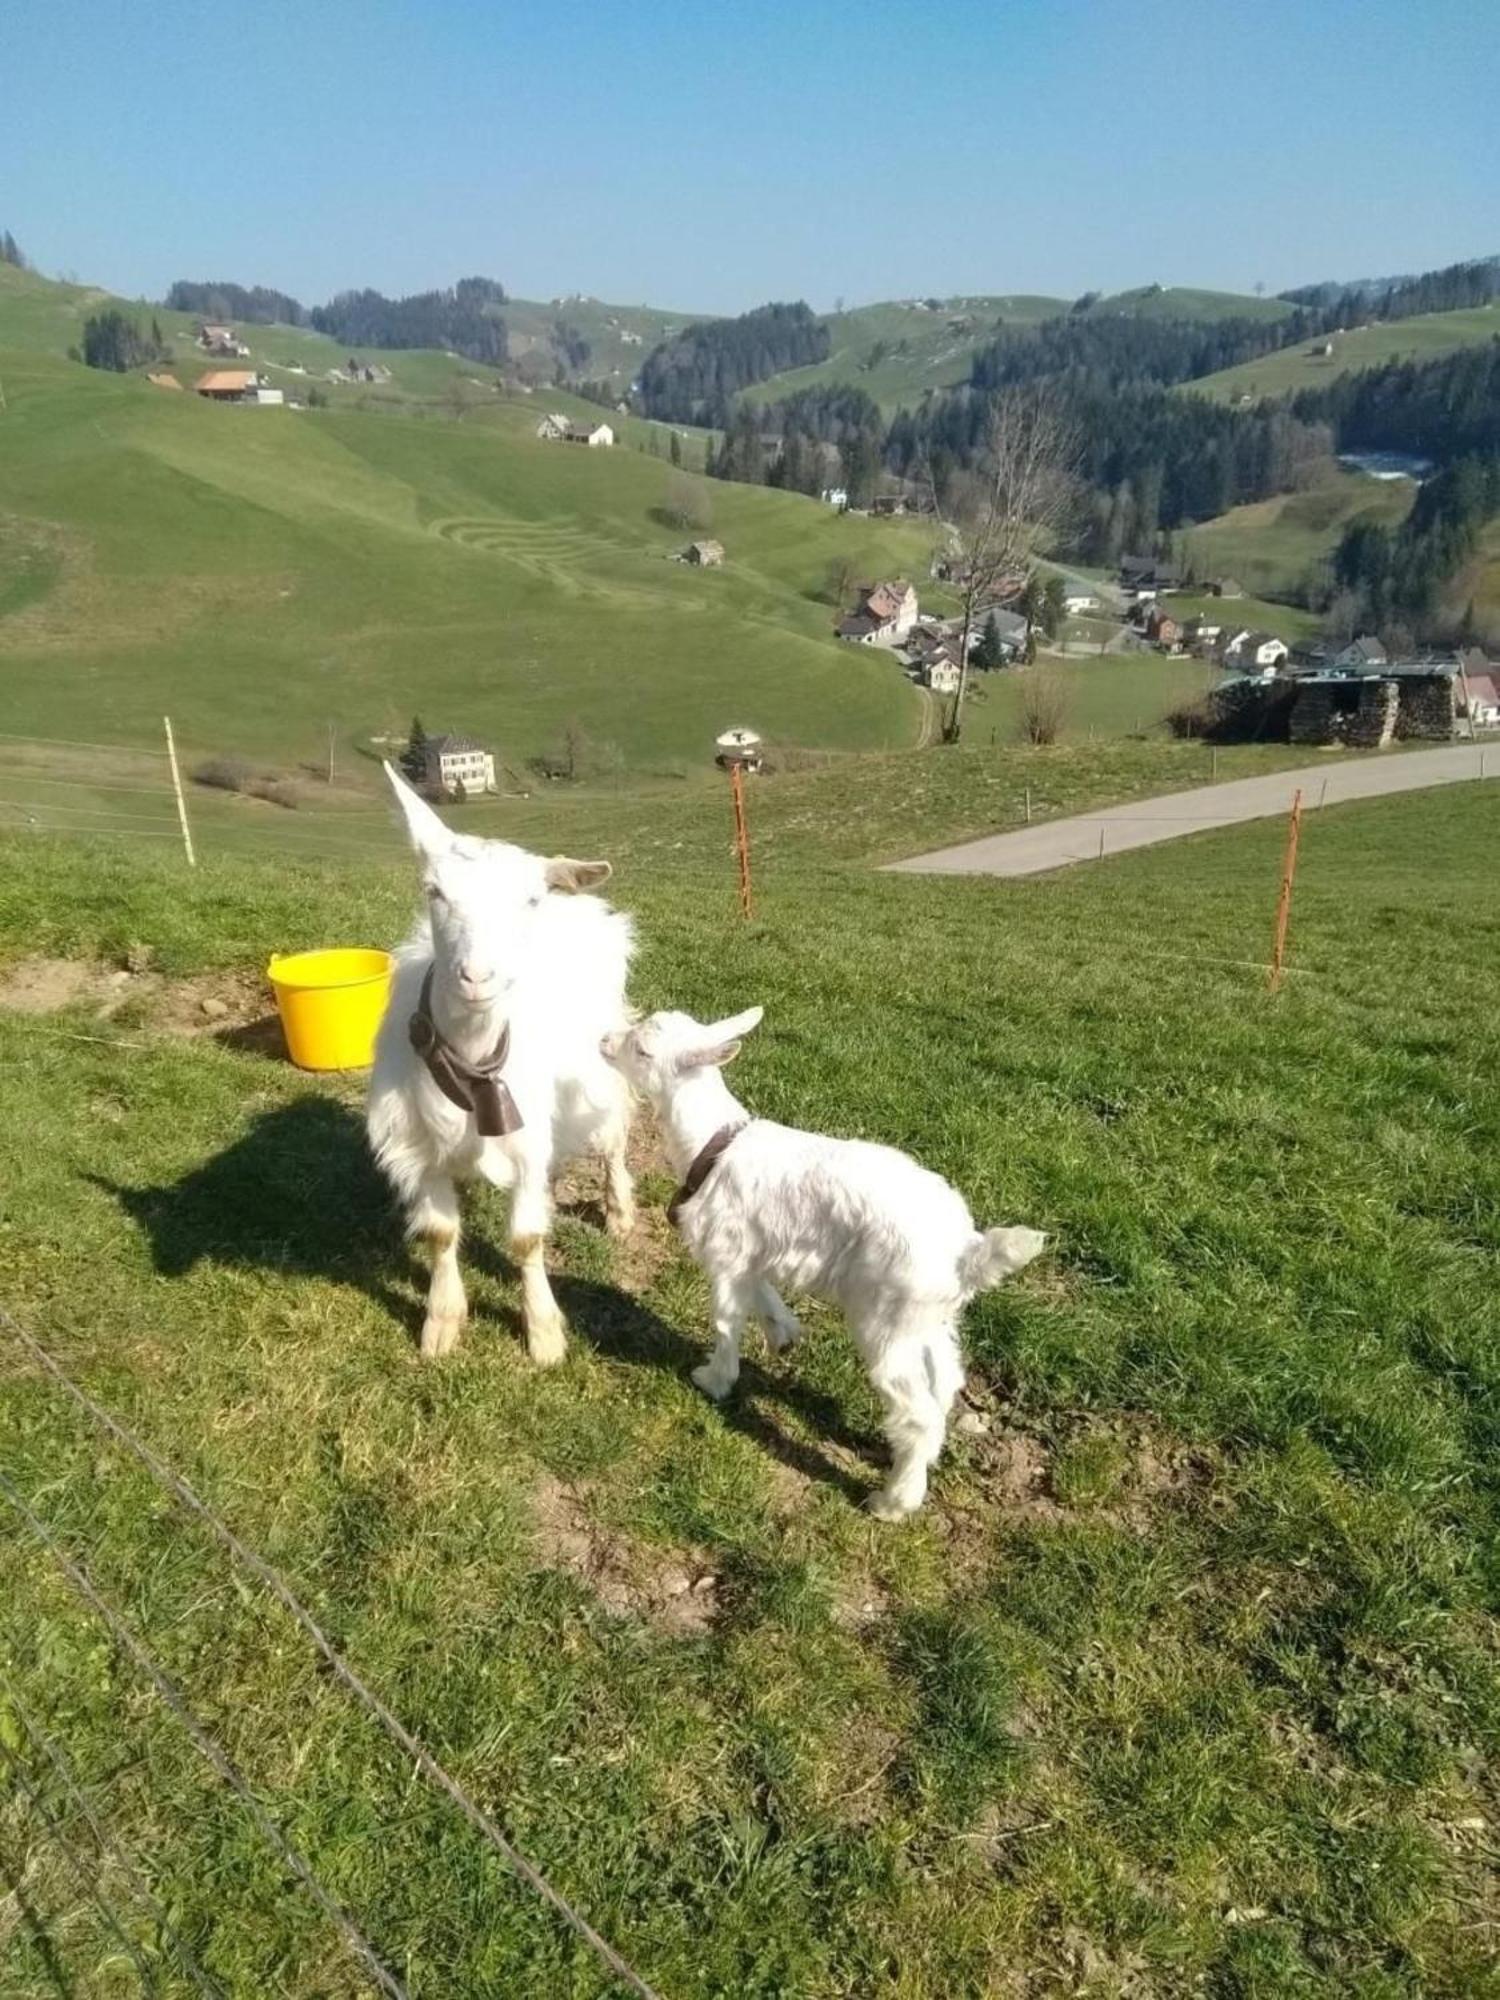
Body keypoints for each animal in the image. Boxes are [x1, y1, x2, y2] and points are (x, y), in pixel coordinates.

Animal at [376, 760, 640, 1360]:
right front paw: (441, 1324)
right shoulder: (417, 1147)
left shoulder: (525, 1142)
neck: (471, 1063)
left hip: (601, 1067)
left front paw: (543, 1334)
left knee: (612, 1139)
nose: (477, 977)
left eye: (529, 902)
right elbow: (440, 1233)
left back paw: (618, 1212)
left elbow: (526, 1239)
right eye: (434, 891)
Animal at [600, 1008, 1048, 1504]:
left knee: (917, 1412)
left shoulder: (725, 1253)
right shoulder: (751, 1251)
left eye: (642, 1050)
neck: (711, 1145)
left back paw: (893, 1502)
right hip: (929, 1320)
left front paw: (715, 1379)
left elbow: (726, 1321)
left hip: (886, 1321)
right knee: (945, 1386)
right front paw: (783, 1333)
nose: (603, 1041)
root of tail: (967, 1251)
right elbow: (762, 1291)